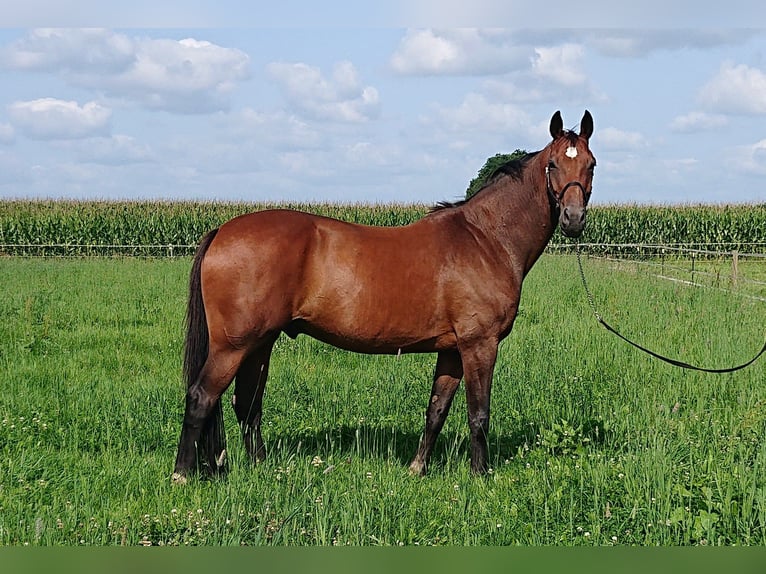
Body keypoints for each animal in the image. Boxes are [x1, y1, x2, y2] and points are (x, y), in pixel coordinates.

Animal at [174, 110, 600, 484]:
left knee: (247, 404)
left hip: (260, 343)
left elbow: (436, 410)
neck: (485, 239)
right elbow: (479, 414)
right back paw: (182, 474)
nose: (573, 219)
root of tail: (222, 231)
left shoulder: (452, 350)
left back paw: (260, 469)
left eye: (592, 165)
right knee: (201, 397)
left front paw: (417, 469)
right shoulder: (480, 345)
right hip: (234, 345)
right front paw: (481, 476)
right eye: (552, 165)